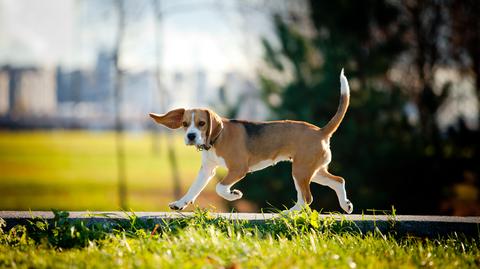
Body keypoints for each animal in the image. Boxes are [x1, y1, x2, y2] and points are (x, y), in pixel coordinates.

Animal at [150, 68, 352, 213]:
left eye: (201, 123)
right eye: (185, 124)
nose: (191, 136)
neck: (216, 138)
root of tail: (320, 131)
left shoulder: (238, 169)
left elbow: (220, 188)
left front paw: (234, 194)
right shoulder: (206, 170)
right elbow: (193, 189)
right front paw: (180, 203)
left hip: (300, 171)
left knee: (307, 198)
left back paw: (288, 213)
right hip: (312, 170)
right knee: (338, 181)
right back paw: (345, 205)